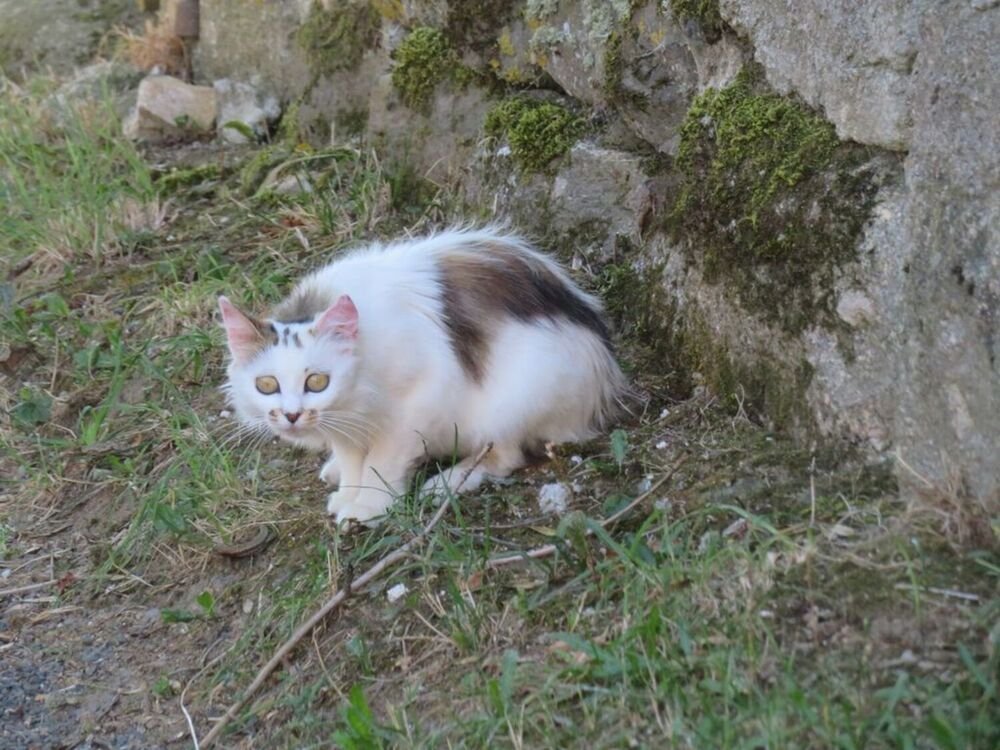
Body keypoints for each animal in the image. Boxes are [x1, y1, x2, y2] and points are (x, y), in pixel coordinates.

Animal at [219, 227, 626, 523]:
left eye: (317, 382)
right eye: (266, 385)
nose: (291, 415)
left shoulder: (420, 400)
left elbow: (382, 461)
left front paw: (367, 506)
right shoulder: (344, 424)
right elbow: (351, 459)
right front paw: (349, 490)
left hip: (514, 401)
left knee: (504, 456)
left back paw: (445, 483)